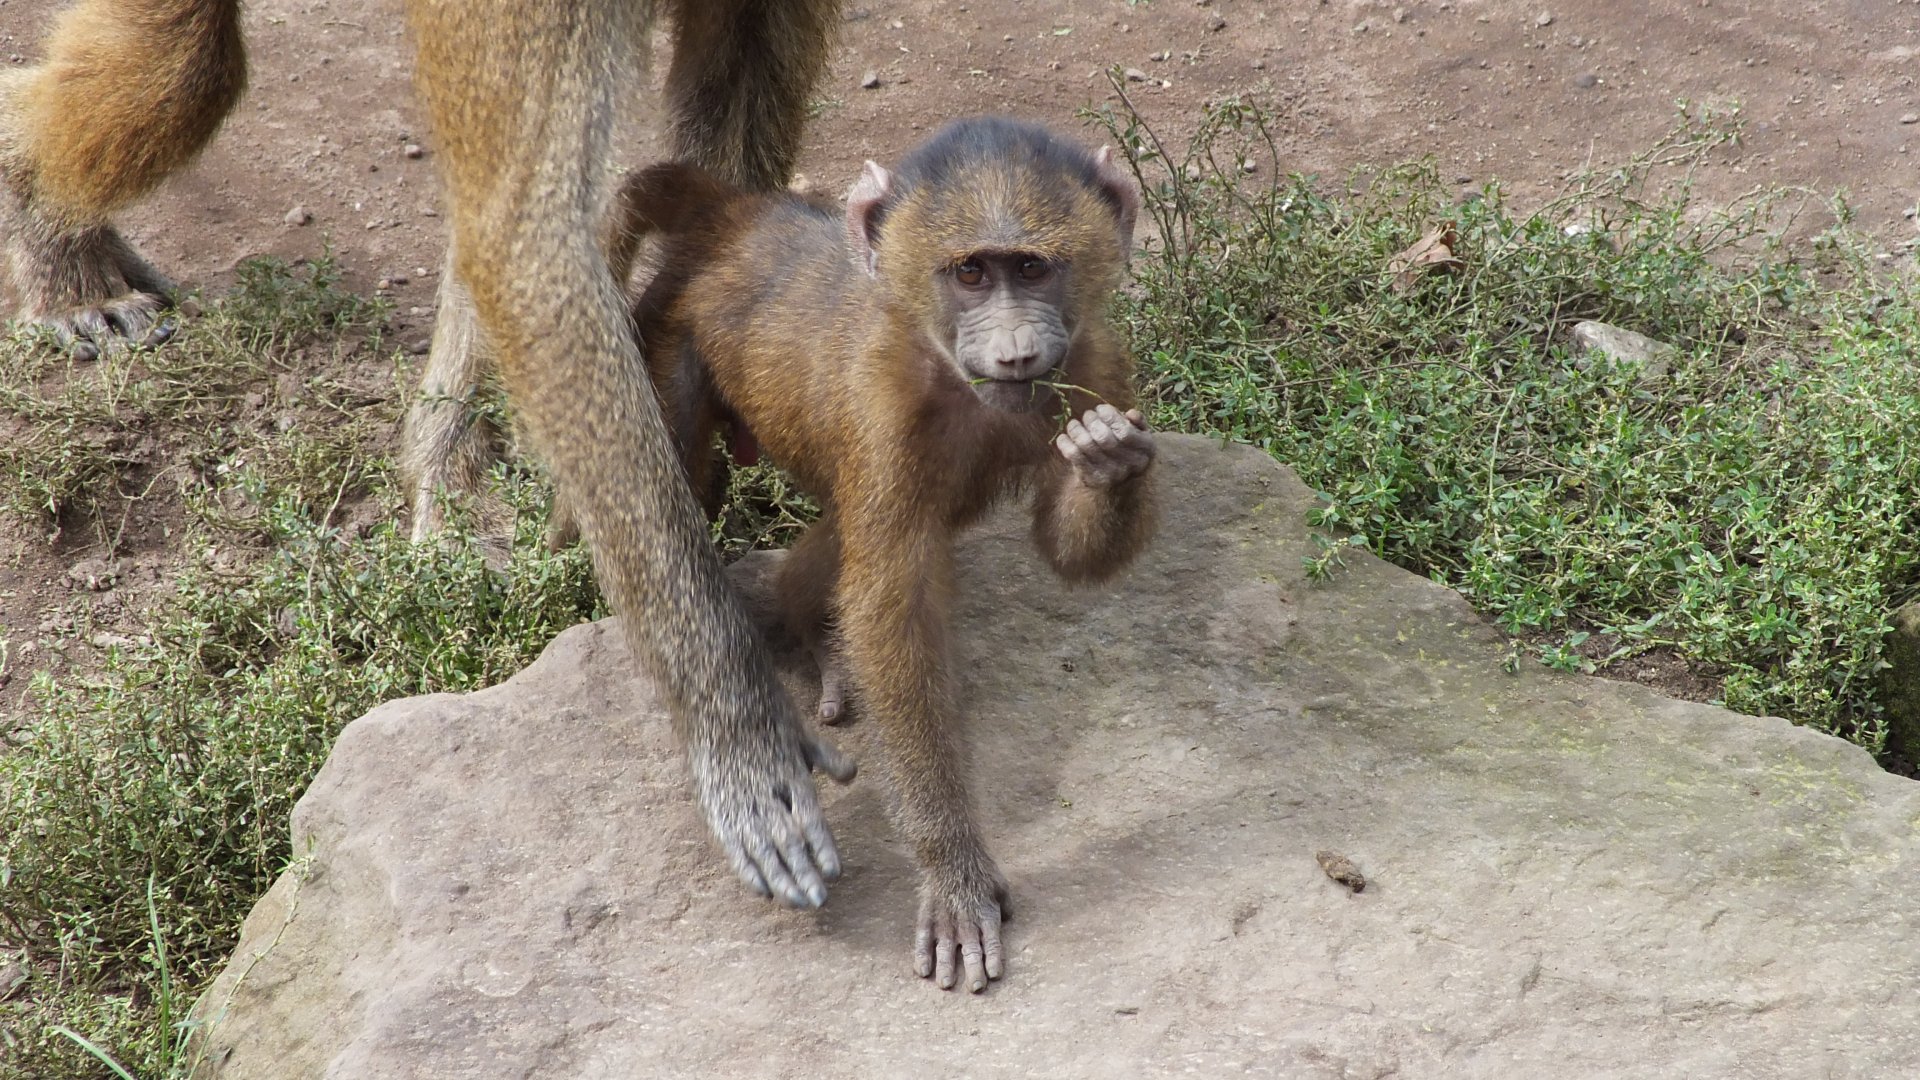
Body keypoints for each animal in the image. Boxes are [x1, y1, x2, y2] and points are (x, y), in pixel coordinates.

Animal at [610, 115, 1158, 993]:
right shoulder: (881, 406)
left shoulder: (1097, 367)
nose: (1015, 354)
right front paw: (953, 872)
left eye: (1032, 267)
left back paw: (797, 615)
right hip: (665, 338)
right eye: (970, 272)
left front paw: (1110, 458)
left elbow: (1063, 550)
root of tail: (738, 217)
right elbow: (893, 611)